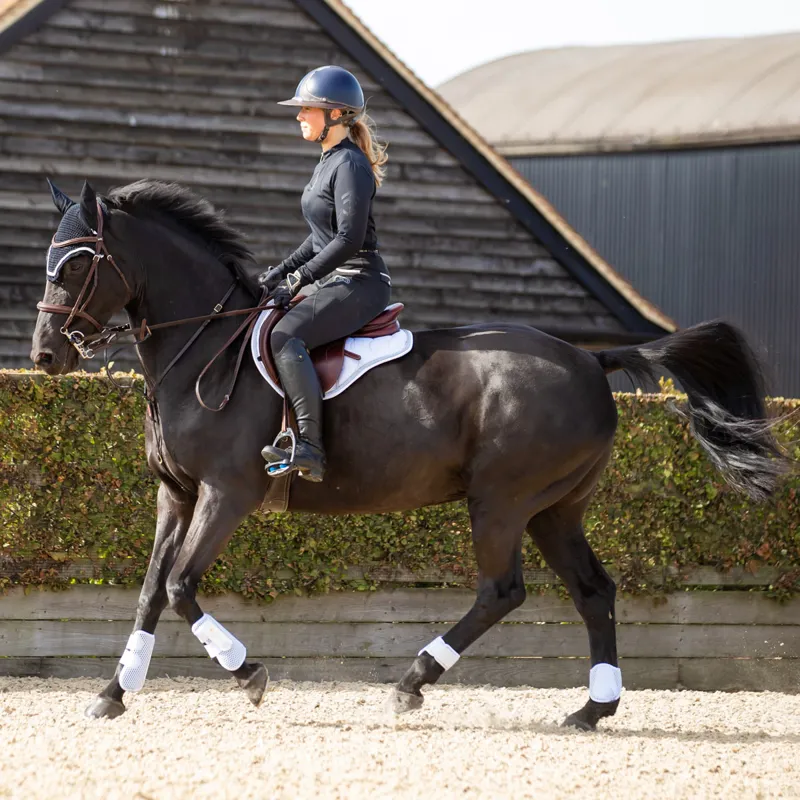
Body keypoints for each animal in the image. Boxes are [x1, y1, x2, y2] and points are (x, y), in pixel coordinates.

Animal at [29, 181, 788, 732]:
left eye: (79, 262)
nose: (45, 356)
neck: (204, 347)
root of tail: (590, 359)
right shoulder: (177, 493)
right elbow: (151, 590)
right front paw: (112, 694)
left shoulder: (227, 492)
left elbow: (183, 587)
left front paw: (251, 677)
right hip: (555, 509)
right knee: (593, 591)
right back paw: (591, 710)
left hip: (502, 500)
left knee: (501, 590)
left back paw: (412, 683)